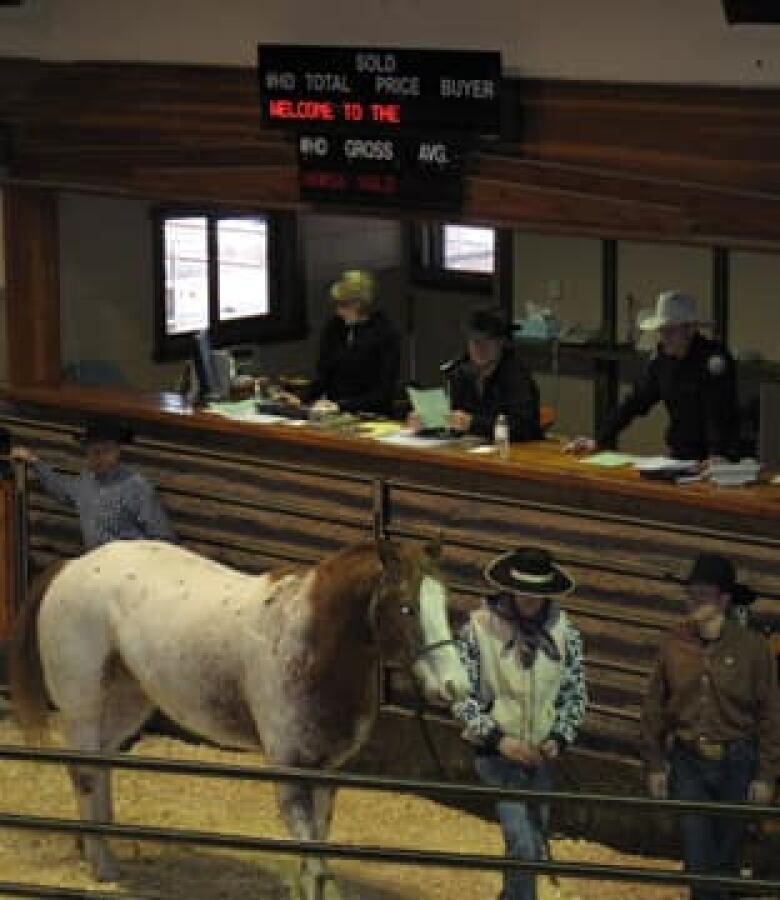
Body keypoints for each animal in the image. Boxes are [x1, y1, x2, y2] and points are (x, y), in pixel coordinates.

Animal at [10, 537, 469, 900]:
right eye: (406, 607)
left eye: (445, 606)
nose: (454, 686)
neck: (308, 645)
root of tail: (71, 566)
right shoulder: (288, 773)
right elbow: (315, 864)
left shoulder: (326, 773)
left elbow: (316, 857)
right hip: (83, 705)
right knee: (84, 771)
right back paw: (103, 866)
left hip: (128, 701)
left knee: (101, 764)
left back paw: (94, 845)